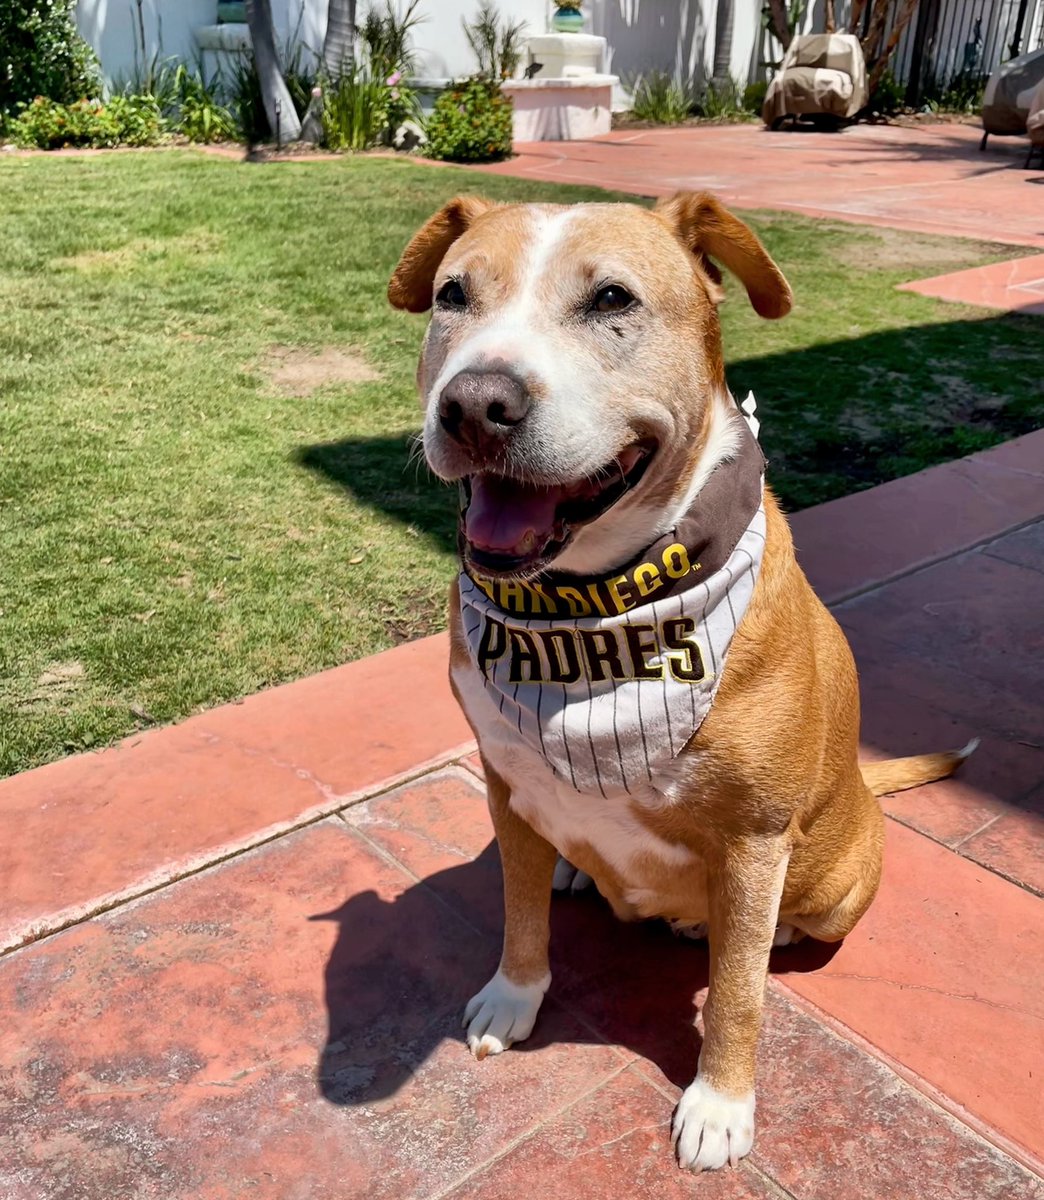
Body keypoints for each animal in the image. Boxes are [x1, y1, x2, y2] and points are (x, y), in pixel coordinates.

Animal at [388, 194, 979, 1171]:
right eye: (452, 295)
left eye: (612, 299)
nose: (473, 405)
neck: (593, 605)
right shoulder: (507, 781)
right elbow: (517, 912)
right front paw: (514, 994)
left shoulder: (752, 841)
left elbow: (738, 991)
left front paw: (720, 1105)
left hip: (836, 883)